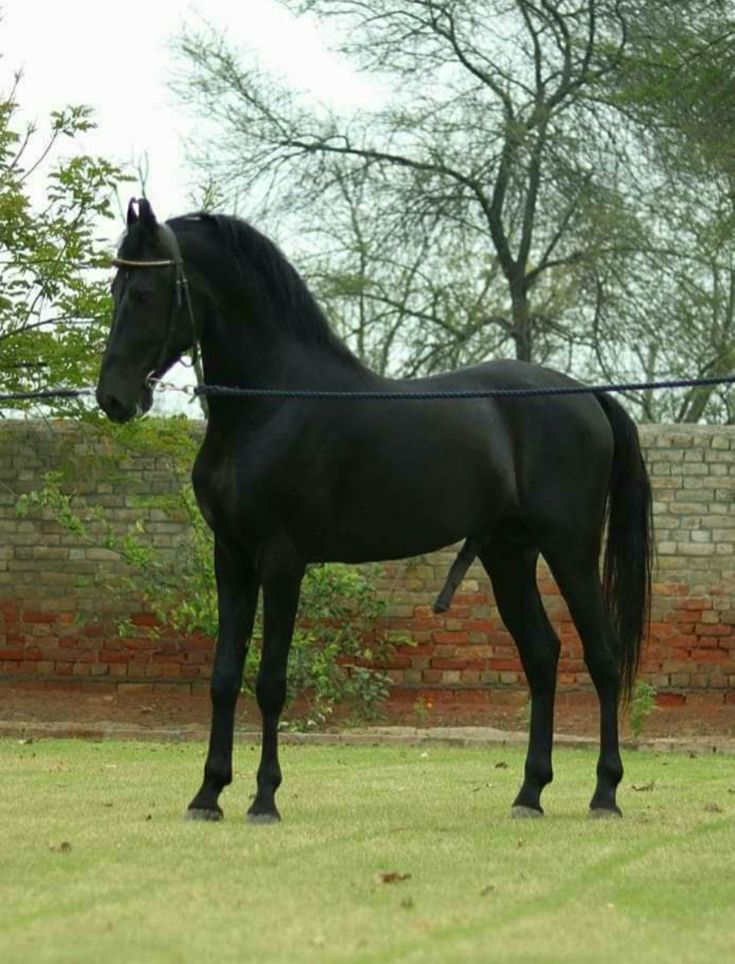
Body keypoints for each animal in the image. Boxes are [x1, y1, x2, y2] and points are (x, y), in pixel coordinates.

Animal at [99, 200, 656, 824]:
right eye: (115, 287)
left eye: (145, 292)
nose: (113, 397)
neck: (272, 405)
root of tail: (589, 396)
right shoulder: (233, 557)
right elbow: (223, 677)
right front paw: (208, 795)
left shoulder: (282, 560)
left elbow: (270, 682)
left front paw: (265, 797)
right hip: (508, 554)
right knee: (541, 655)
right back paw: (529, 793)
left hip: (570, 549)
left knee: (603, 658)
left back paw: (605, 792)